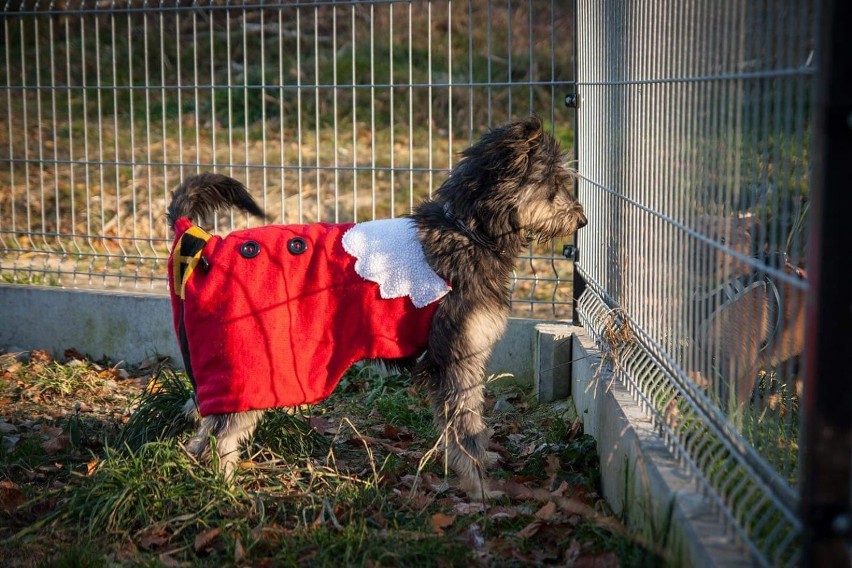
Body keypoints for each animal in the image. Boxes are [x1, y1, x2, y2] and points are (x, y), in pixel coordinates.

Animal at [170, 115, 588, 496]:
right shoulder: (456, 359)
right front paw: (480, 488)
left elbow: (468, 423)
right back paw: (226, 489)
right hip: (250, 369)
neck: (467, 230)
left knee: (201, 425)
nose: (582, 219)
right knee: (217, 438)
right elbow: (465, 428)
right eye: (555, 186)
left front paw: (482, 465)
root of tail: (204, 243)